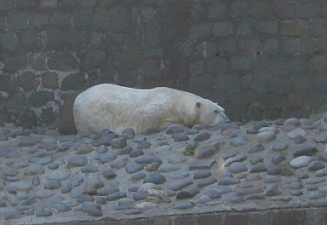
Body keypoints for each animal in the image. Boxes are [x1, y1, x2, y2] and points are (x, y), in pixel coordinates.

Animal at [73, 84, 229, 134]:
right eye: (215, 111)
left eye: (223, 110)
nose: (227, 121)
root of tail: (77, 98)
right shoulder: (158, 114)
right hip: (89, 116)